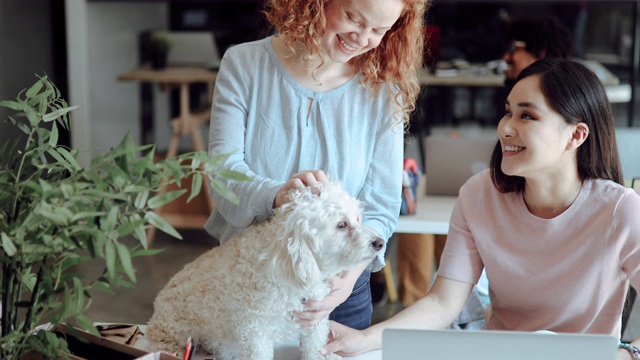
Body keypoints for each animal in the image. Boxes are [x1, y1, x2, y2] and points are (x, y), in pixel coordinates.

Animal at [146, 181, 384, 358]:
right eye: (341, 225)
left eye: (358, 219)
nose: (380, 242)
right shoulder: (254, 332)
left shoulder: (315, 319)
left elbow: (314, 346)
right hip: (170, 329)